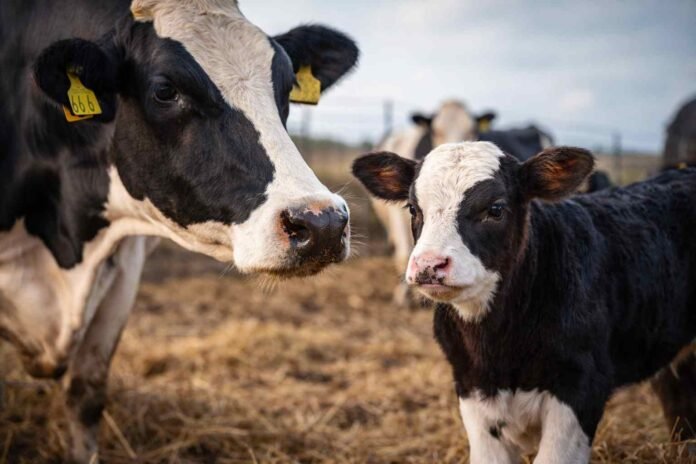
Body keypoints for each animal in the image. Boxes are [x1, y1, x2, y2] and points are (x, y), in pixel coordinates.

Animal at [353, 142, 696, 463]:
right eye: (413, 208)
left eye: (495, 208)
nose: (428, 265)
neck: (498, 350)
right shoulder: (471, 388)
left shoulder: (581, 389)